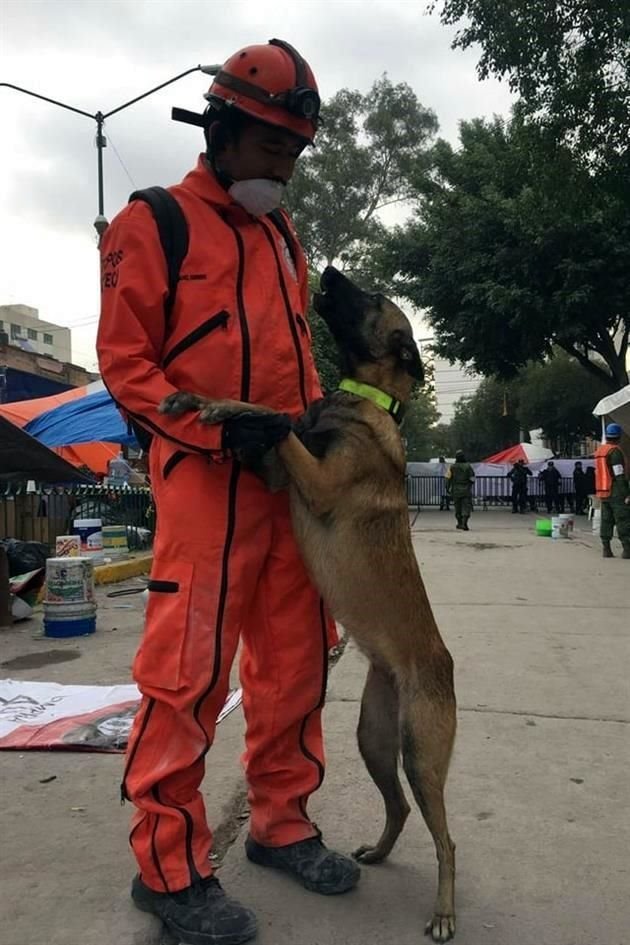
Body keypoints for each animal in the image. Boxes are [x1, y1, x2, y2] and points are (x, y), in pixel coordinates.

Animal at [160, 268, 460, 944]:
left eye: (372, 299)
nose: (326, 272)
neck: (363, 400)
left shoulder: (317, 483)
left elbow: (277, 419)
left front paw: (228, 407)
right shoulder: (280, 473)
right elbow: (265, 417)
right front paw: (204, 400)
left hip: (420, 753)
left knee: (446, 839)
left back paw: (444, 913)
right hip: (375, 739)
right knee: (399, 807)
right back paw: (377, 853)